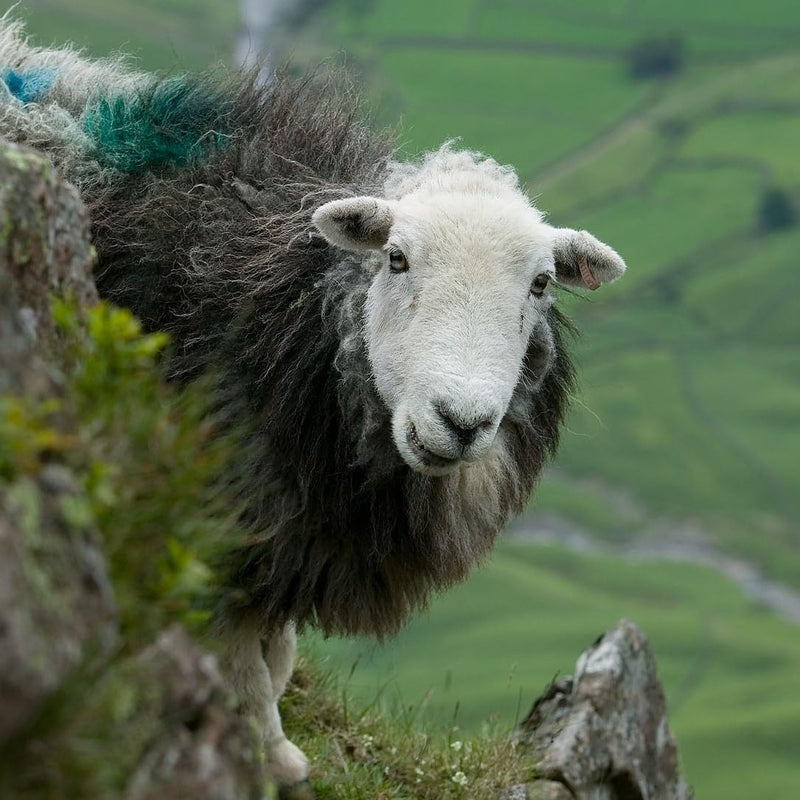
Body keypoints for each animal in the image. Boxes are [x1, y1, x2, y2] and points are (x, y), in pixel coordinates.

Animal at [0, 19, 626, 797]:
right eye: (395, 258)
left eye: (541, 284)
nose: (461, 422)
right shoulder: (223, 512)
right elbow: (246, 663)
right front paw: (268, 756)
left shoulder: (297, 531)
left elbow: (279, 655)